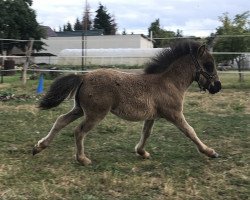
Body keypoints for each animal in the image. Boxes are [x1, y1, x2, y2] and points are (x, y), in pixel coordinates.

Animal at [32, 39, 221, 165]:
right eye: (209, 65)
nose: (217, 87)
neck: (168, 82)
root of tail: (84, 77)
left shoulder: (152, 116)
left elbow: (146, 133)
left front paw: (142, 152)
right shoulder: (174, 113)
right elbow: (190, 131)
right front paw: (210, 152)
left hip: (80, 109)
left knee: (60, 121)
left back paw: (39, 147)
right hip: (95, 114)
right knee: (78, 131)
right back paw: (83, 159)